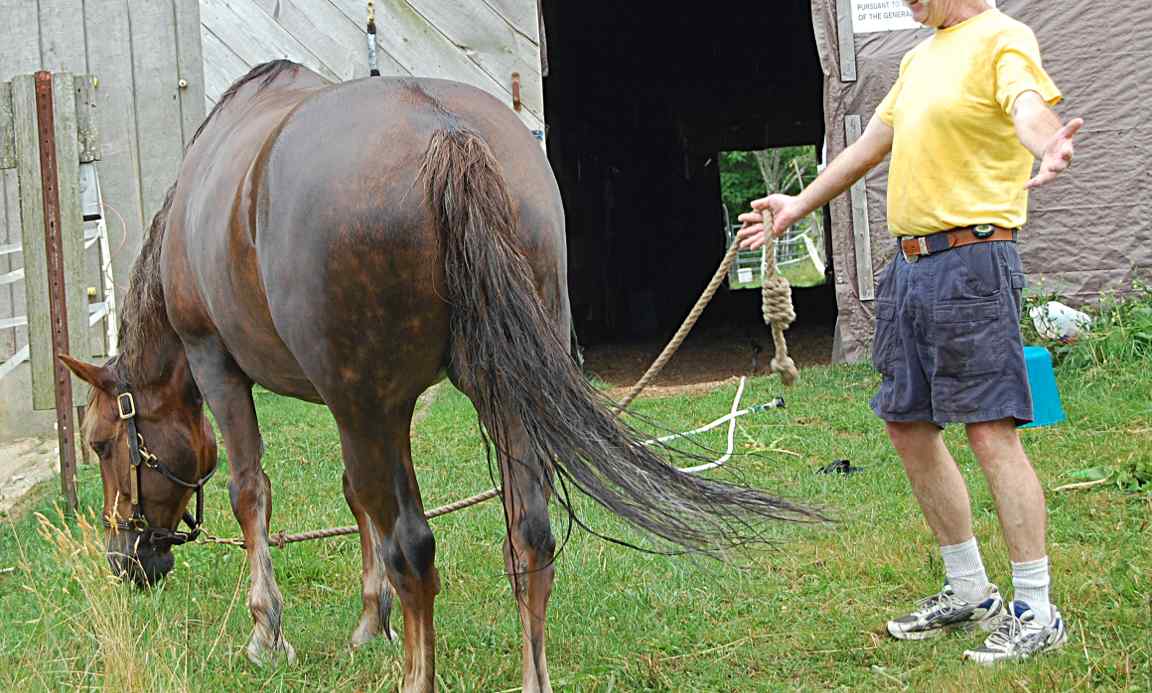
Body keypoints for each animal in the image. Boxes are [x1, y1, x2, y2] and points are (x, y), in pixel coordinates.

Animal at [60, 60, 816, 693]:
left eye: (101, 443)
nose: (124, 560)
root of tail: (446, 133)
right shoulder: (347, 403)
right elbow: (355, 500)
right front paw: (372, 622)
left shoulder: (223, 366)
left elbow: (254, 494)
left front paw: (267, 631)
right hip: (500, 394)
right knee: (529, 537)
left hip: (376, 408)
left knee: (416, 550)